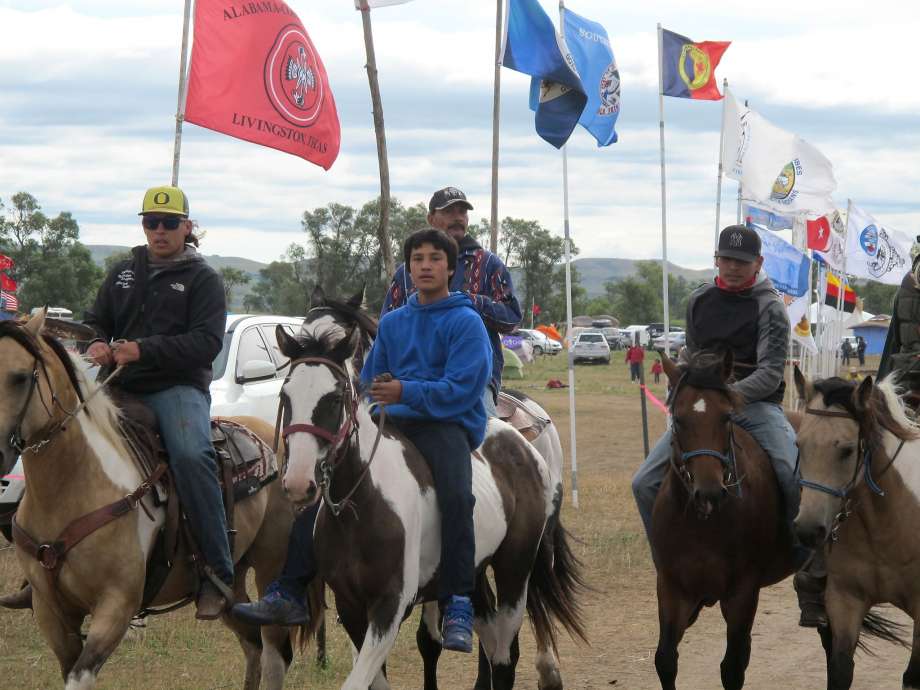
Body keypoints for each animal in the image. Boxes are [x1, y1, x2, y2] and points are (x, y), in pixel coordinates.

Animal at [0, 314, 316, 688]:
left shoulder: (116, 606)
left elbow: (80, 675)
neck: (72, 488)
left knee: (274, 655)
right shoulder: (51, 612)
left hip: (272, 570)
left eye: (21, 377)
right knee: (252, 644)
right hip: (234, 584)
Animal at [276, 286, 584, 688]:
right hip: (472, 572)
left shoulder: (390, 606)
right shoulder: (352, 606)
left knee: (505, 654)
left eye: (334, 398)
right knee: (489, 639)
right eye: (285, 396)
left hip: (515, 570)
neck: (362, 504)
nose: (298, 482)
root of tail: (522, 443)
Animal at [656, 352, 796, 684]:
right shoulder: (671, 588)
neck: (702, 526)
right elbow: (665, 660)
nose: (709, 493)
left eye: (726, 417)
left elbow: (732, 667)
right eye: (678, 419)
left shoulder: (742, 593)